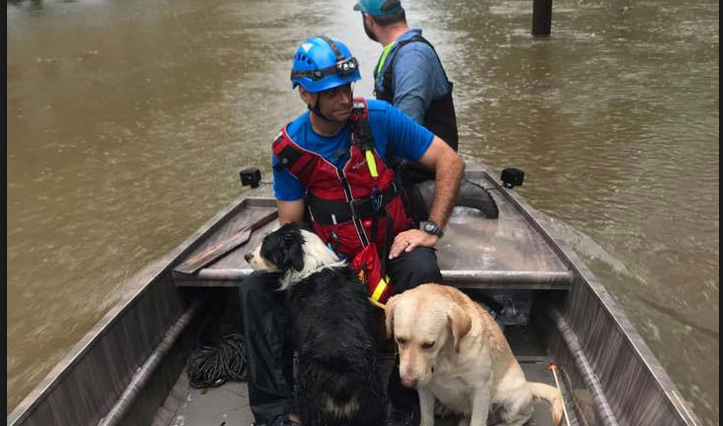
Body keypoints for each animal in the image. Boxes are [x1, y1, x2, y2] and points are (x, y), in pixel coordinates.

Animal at [246, 223, 388, 426]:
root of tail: (341, 381)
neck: (314, 265)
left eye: (266, 245)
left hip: (311, 402)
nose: (246, 256)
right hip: (373, 405)